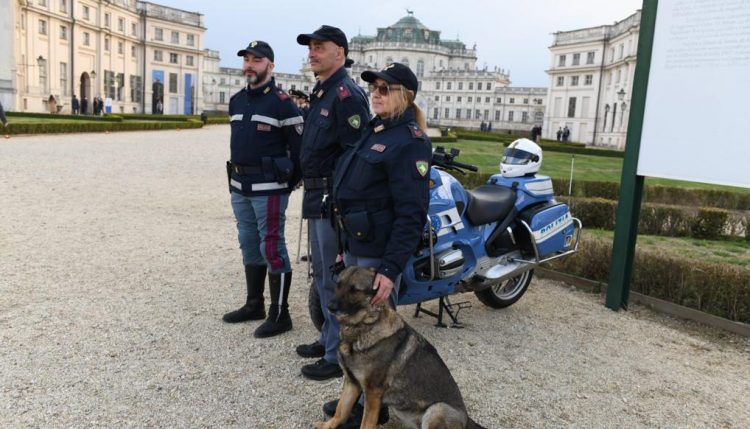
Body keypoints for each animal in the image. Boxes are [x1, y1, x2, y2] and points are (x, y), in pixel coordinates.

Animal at [312, 266, 484, 426]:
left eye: (354, 290)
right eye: (338, 285)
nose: (329, 307)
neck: (366, 325)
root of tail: (467, 420)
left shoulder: (372, 393)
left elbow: (365, 423)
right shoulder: (351, 383)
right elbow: (341, 410)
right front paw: (328, 425)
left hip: (437, 409)